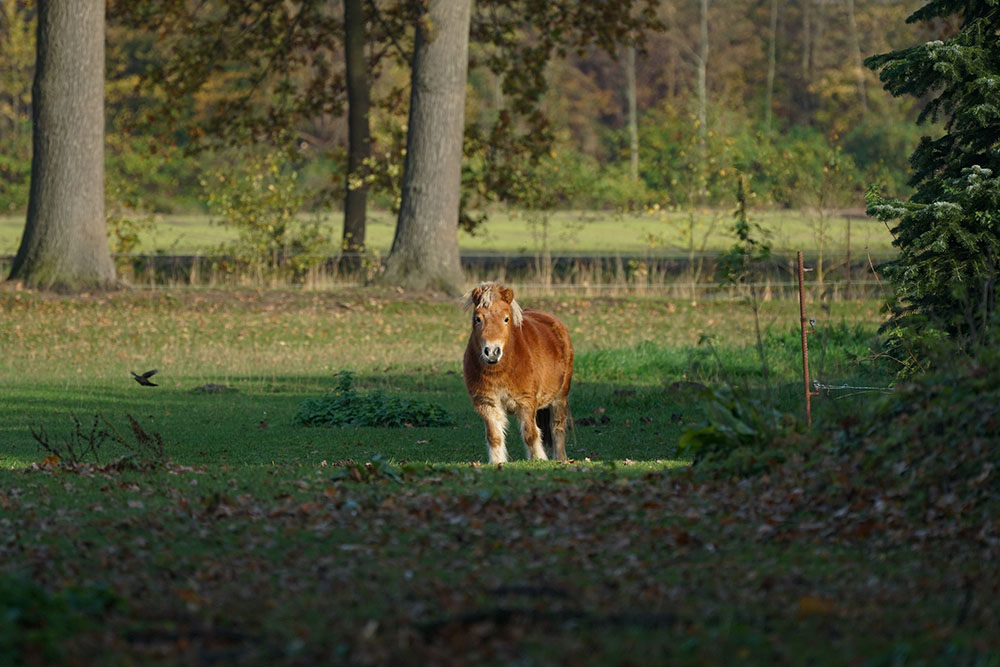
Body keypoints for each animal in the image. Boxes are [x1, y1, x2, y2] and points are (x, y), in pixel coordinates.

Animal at [462, 282, 576, 464]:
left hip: (560, 396)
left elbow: (530, 433)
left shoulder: (526, 402)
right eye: (478, 318)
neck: (502, 369)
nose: (492, 352)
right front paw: (497, 462)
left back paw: (560, 458)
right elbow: (494, 436)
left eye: (506, 319)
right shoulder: (487, 402)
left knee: (557, 427)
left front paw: (538, 459)